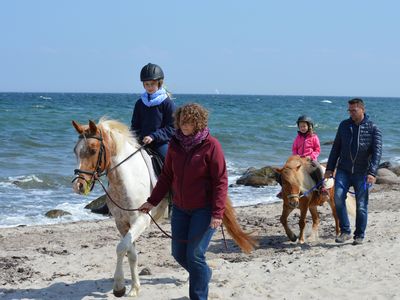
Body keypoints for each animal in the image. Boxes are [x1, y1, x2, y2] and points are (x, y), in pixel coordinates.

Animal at [72, 118, 256, 296]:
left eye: (93, 149)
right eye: (75, 151)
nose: (78, 186)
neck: (128, 179)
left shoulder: (141, 220)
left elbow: (121, 248)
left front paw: (118, 287)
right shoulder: (122, 222)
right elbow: (130, 253)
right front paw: (133, 288)